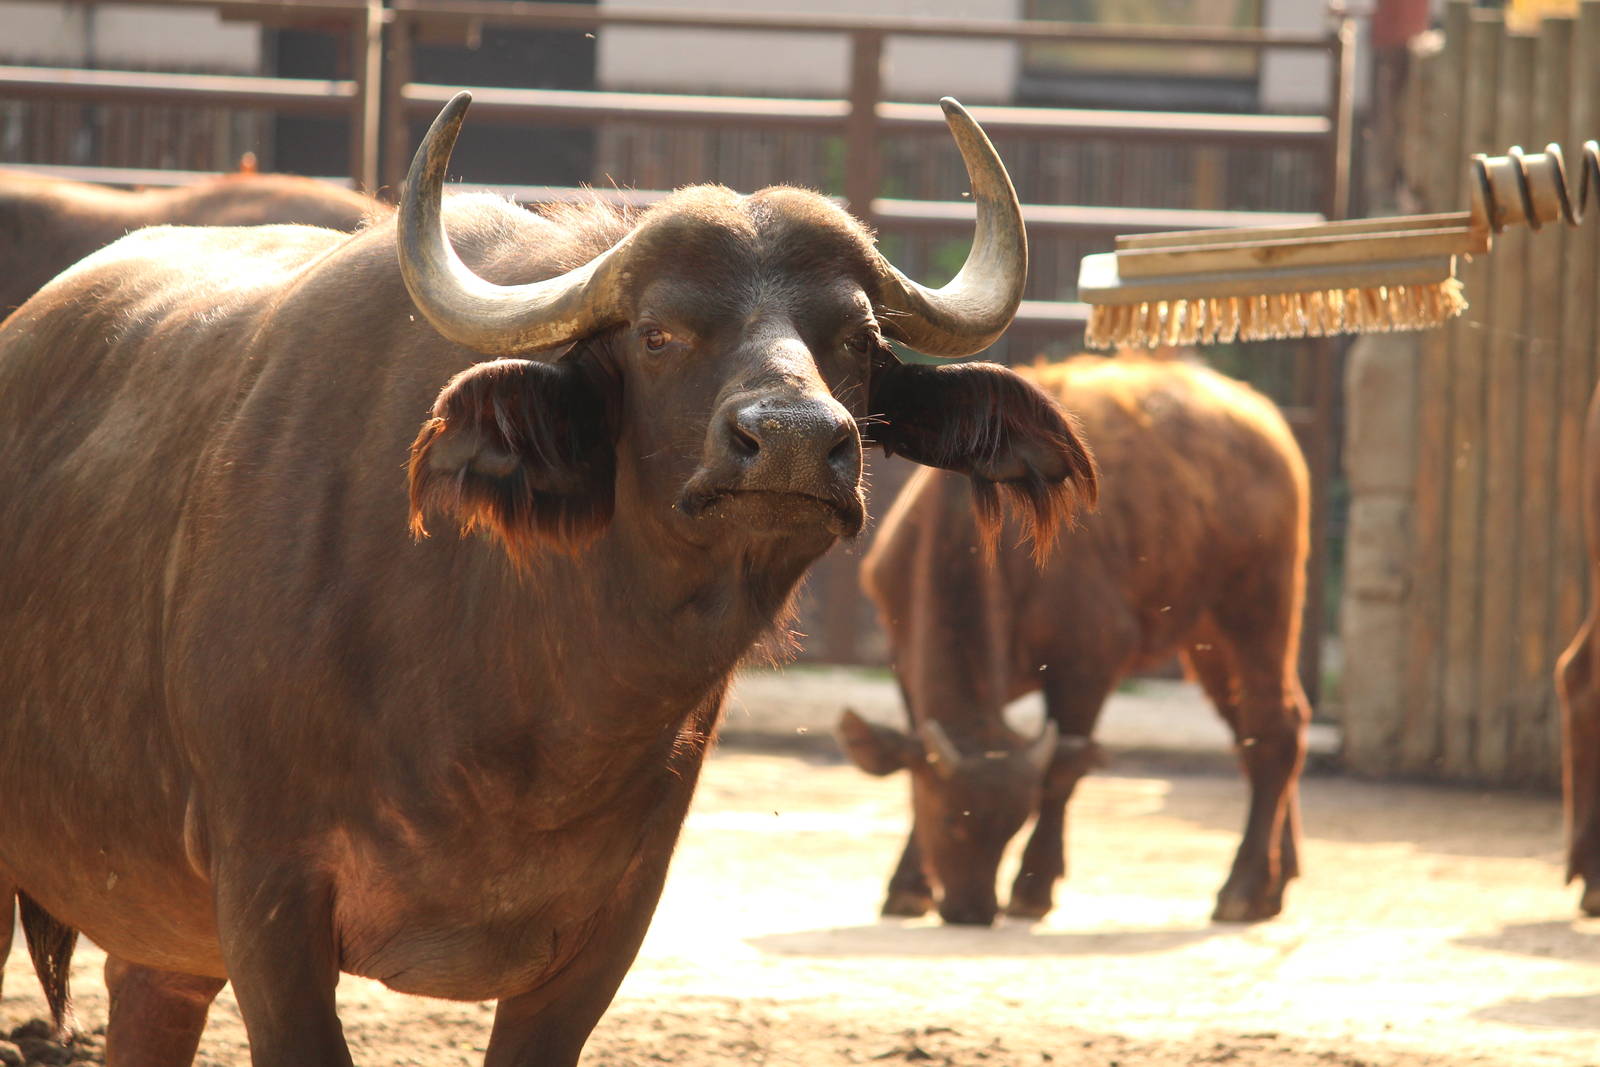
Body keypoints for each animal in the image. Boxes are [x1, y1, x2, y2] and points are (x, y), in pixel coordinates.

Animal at [839, 355, 1310, 926]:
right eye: (949, 820)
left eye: (1013, 824)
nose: (972, 908)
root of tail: (1263, 421)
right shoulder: (902, 657)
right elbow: (914, 763)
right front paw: (908, 886)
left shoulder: (1088, 662)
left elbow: (1062, 772)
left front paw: (1032, 886)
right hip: (1206, 636)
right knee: (1268, 728)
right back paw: (1277, 878)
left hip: (1259, 606)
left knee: (1272, 730)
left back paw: (1244, 887)